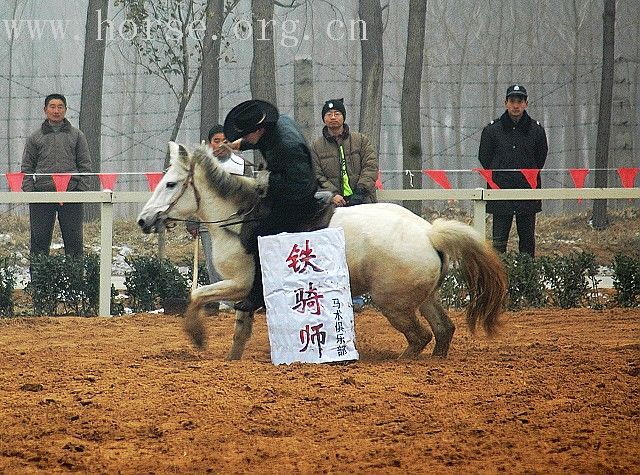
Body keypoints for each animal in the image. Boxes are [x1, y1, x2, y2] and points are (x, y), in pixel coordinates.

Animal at [136, 142, 504, 360]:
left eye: (170, 184)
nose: (143, 220)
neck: (242, 218)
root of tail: (429, 233)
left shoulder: (240, 284)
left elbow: (197, 294)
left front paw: (197, 337)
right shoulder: (245, 292)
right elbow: (239, 328)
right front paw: (231, 358)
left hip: (393, 302)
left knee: (419, 336)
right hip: (421, 297)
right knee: (442, 331)